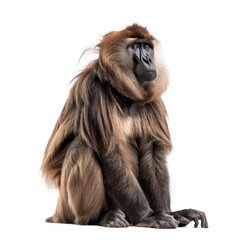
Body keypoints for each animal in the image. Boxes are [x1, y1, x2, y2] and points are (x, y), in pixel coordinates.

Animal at [40, 23, 207, 229]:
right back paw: (97, 218)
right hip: (66, 209)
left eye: (147, 47)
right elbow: (109, 153)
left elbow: (152, 153)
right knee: (82, 147)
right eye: (135, 47)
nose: (147, 59)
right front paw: (148, 216)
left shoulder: (152, 101)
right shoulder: (93, 90)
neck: (124, 97)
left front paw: (170, 213)